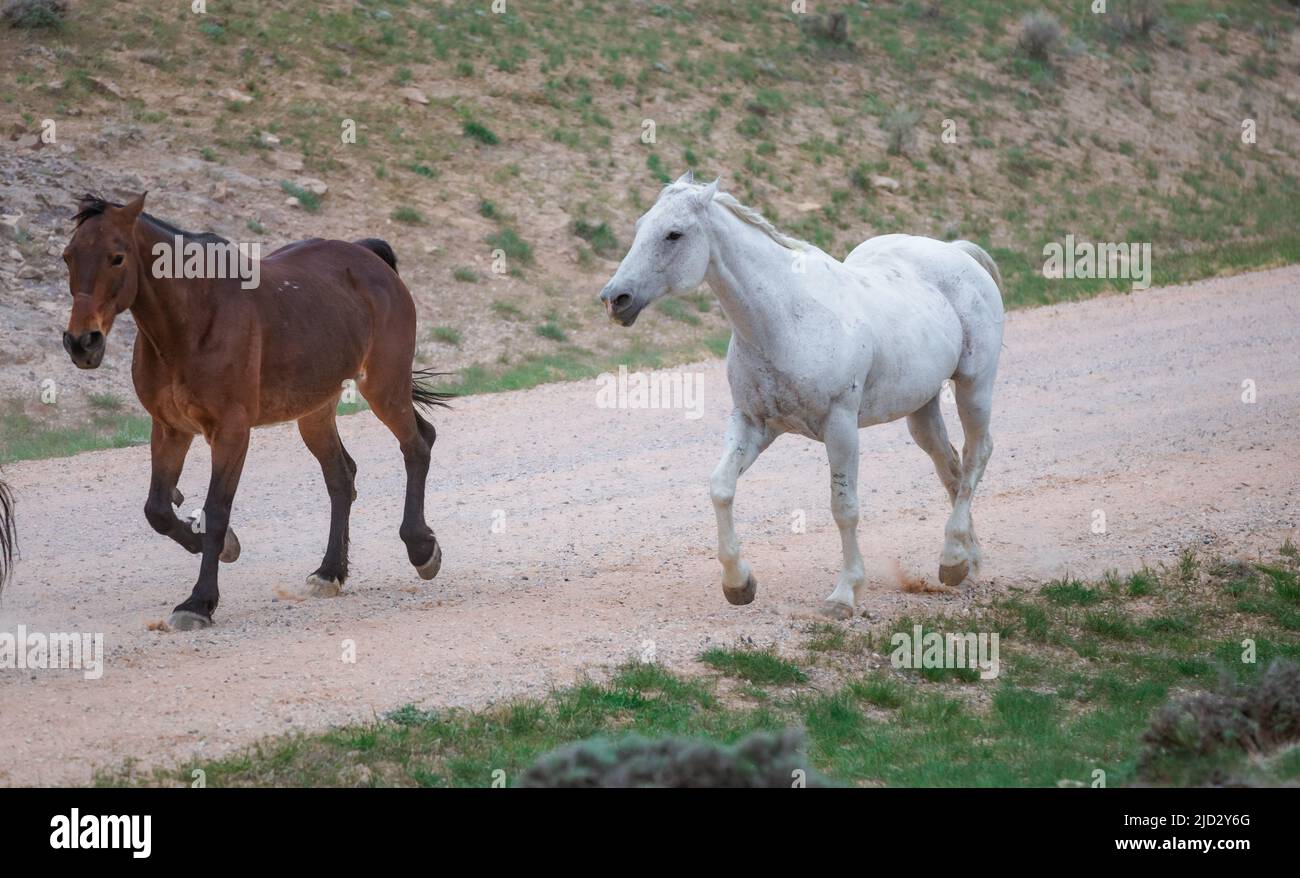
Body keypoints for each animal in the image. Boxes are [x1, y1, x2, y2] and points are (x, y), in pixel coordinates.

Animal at [61, 193, 450, 630]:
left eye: (117, 257)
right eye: (68, 257)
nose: (82, 342)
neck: (192, 320)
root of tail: (368, 257)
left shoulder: (231, 432)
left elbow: (216, 510)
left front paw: (199, 602)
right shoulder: (169, 428)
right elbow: (158, 509)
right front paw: (218, 546)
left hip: (383, 387)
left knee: (416, 446)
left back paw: (421, 549)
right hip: (315, 412)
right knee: (341, 477)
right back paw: (330, 572)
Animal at [599, 173, 1004, 618]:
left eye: (674, 234)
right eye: (640, 227)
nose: (615, 299)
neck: (786, 320)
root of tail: (957, 251)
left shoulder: (841, 427)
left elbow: (844, 507)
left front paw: (845, 594)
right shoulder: (752, 423)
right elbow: (721, 488)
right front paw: (738, 583)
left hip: (974, 388)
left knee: (977, 454)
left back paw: (952, 558)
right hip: (921, 407)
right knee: (950, 467)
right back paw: (966, 561)